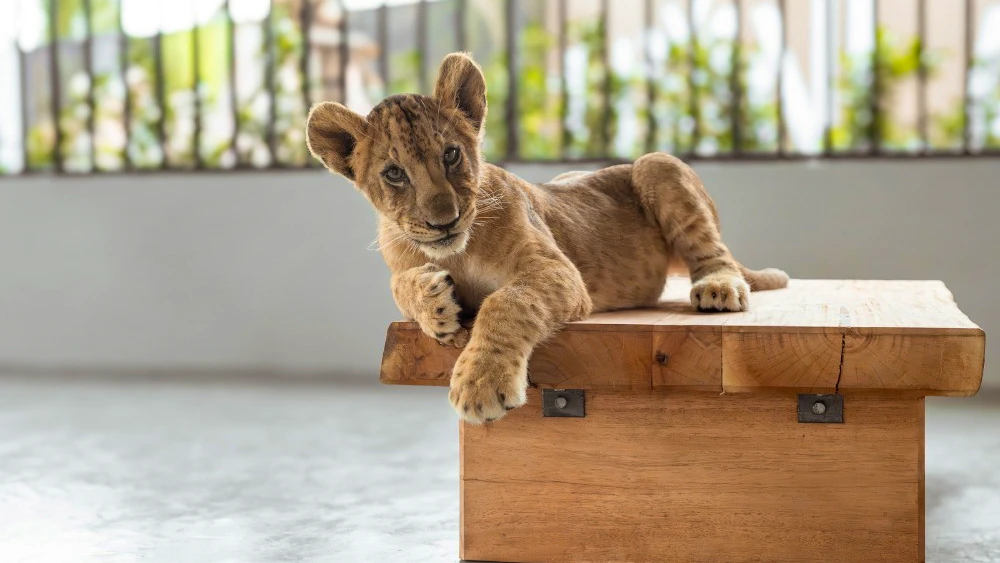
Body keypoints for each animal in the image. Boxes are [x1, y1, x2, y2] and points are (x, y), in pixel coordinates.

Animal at [306, 52, 789, 424]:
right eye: (394, 174)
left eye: (451, 154)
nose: (445, 220)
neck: (458, 254)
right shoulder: (402, 258)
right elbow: (398, 284)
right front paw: (434, 305)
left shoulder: (558, 271)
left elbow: (508, 302)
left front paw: (481, 384)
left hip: (658, 164)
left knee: (713, 252)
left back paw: (718, 287)